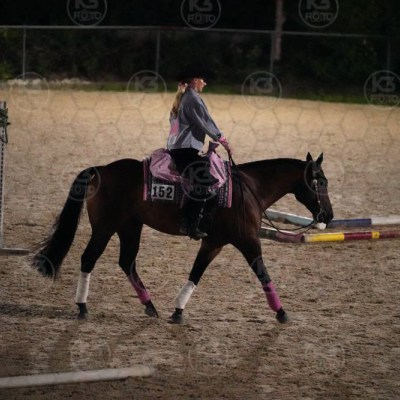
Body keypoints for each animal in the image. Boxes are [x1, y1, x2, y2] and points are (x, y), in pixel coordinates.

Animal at [32, 151, 333, 324]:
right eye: (319, 182)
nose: (328, 215)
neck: (249, 190)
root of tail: (101, 169)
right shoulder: (248, 241)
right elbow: (263, 274)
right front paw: (281, 313)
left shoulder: (213, 243)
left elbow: (195, 274)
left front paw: (177, 311)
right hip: (105, 227)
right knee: (89, 259)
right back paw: (82, 306)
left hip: (130, 226)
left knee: (127, 262)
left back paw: (150, 306)